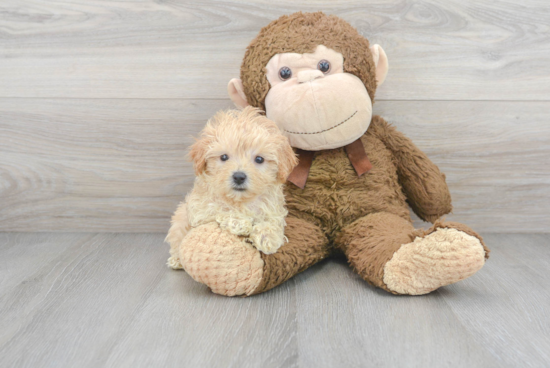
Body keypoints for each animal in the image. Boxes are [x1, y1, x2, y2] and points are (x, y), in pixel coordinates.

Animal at [166, 106, 300, 270]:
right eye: (224, 157)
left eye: (259, 159)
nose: (239, 177)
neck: (240, 201)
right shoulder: (201, 210)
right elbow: (219, 209)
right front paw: (239, 222)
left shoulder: (273, 209)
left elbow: (274, 223)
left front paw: (266, 237)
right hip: (179, 221)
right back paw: (176, 260)